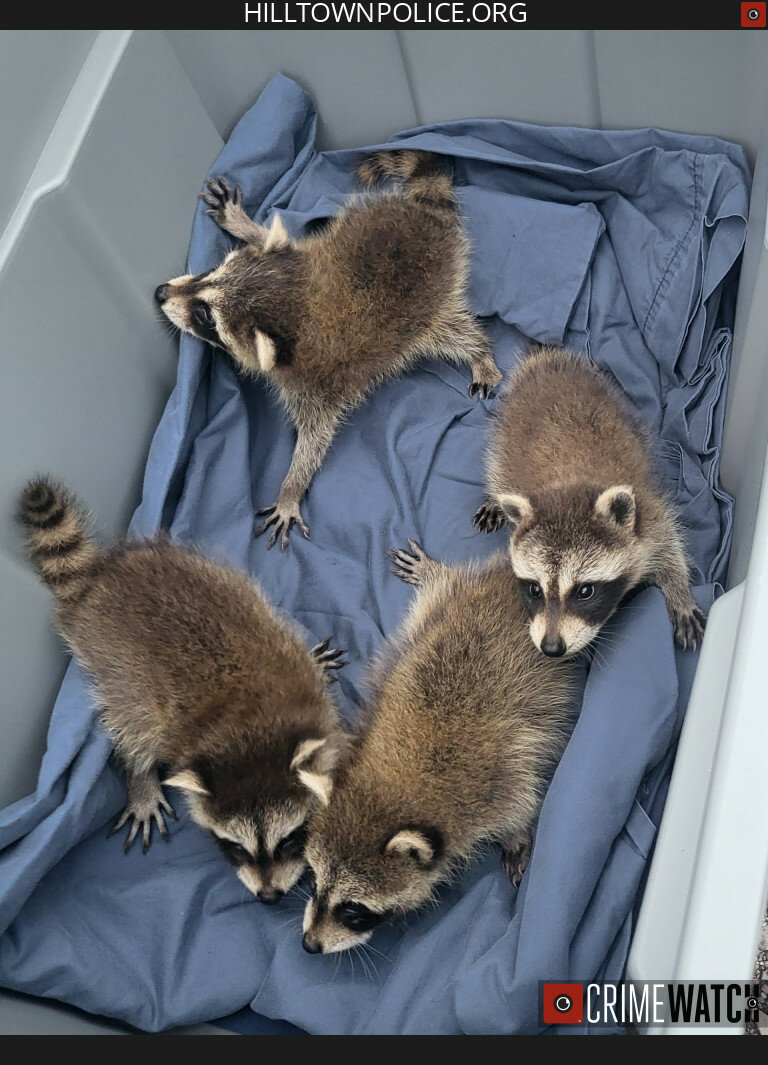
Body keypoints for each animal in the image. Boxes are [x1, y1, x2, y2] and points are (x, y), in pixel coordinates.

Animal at [17, 479, 345, 903]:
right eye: (233, 847)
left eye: (289, 839)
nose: (269, 897)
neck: (251, 733)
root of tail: (102, 579)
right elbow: (136, 737)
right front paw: (141, 776)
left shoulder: (307, 693)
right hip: (117, 667)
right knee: (131, 720)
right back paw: (141, 778)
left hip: (218, 578)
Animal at [156, 148, 502, 549]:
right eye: (212, 270)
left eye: (205, 317)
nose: (160, 293)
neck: (303, 303)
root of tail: (427, 217)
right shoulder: (301, 258)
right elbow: (276, 240)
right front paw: (245, 225)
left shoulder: (318, 382)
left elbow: (316, 438)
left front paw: (291, 487)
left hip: (430, 304)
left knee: (453, 333)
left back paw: (481, 353)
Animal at [300, 541, 575, 958]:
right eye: (314, 881)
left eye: (354, 910)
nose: (309, 945)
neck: (392, 788)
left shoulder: (497, 781)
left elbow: (521, 803)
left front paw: (516, 835)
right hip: (446, 607)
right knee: (441, 590)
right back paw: (435, 574)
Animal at [472, 345, 707, 651]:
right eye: (535, 589)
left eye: (585, 591)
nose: (551, 648)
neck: (569, 489)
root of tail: (548, 362)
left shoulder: (649, 512)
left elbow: (669, 547)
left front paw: (678, 591)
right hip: (506, 429)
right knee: (497, 467)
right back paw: (495, 495)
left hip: (619, 407)